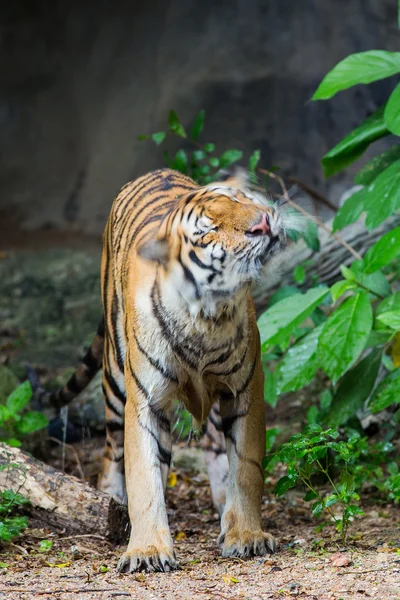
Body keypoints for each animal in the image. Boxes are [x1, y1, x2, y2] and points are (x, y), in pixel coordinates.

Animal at [36, 168, 300, 572]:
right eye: (208, 231)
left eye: (241, 199)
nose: (263, 222)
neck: (206, 317)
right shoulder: (145, 403)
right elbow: (144, 476)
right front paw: (146, 550)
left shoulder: (244, 392)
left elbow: (246, 467)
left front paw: (246, 535)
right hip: (114, 380)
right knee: (112, 451)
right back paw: (111, 506)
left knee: (214, 446)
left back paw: (223, 512)